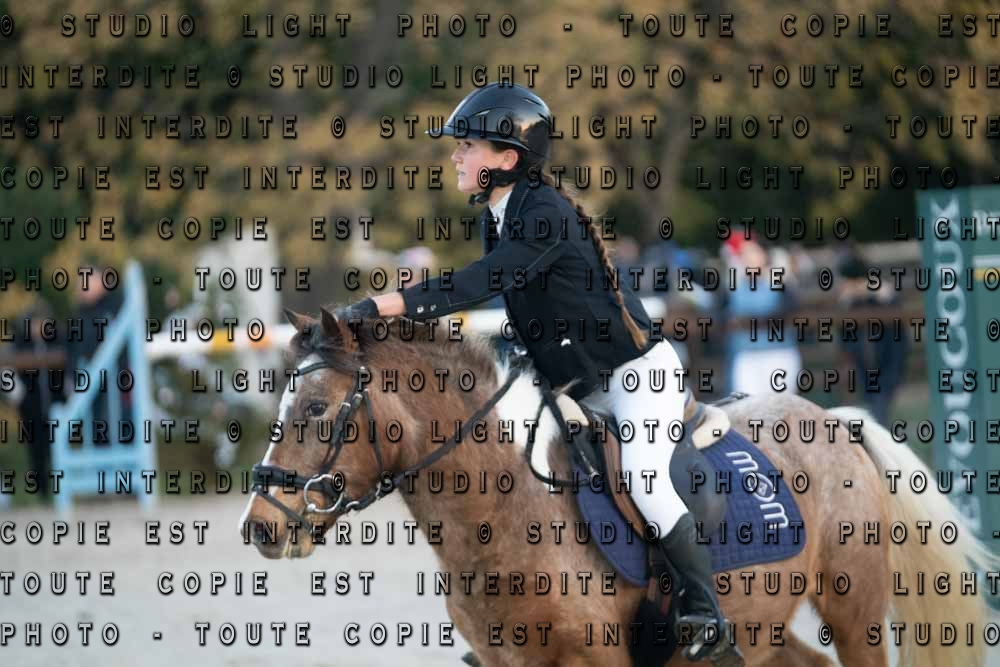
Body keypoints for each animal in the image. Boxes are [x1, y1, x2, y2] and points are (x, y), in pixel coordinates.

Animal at [240, 308, 1000, 667]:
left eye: (315, 409)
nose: (260, 527)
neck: (500, 510)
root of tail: (835, 421)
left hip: (855, 608)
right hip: (759, 626)